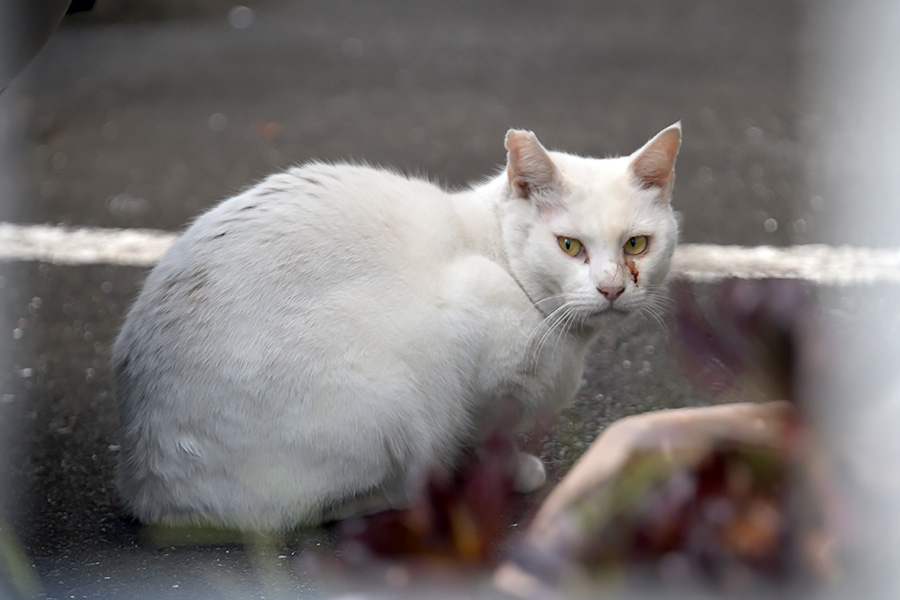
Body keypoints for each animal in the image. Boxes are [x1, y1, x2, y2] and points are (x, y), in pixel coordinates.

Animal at [112, 124, 680, 532]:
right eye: (568, 245)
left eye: (636, 245)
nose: (611, 288)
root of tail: (149, 487)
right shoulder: (475, 339)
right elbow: (488, 432)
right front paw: (512, 471)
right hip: (392, 401)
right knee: (305, 512)